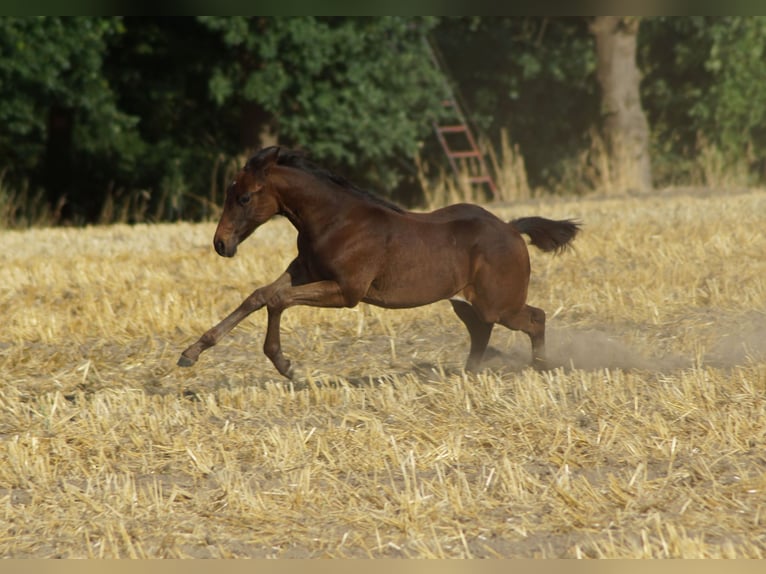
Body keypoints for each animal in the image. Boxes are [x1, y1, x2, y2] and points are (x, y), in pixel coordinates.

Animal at [178, 146, 580, 378]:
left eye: (244, 197)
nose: (221, 243)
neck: (334, 221)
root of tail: (512, 229)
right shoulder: (304, 272)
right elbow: (258, 296)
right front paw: (190, 353)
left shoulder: (346, 292)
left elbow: (276, 300)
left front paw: (285, 365)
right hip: (467, 302)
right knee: (482, 330)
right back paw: (467, 374)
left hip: (500, 303)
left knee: (535, 318)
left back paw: (541, 368)